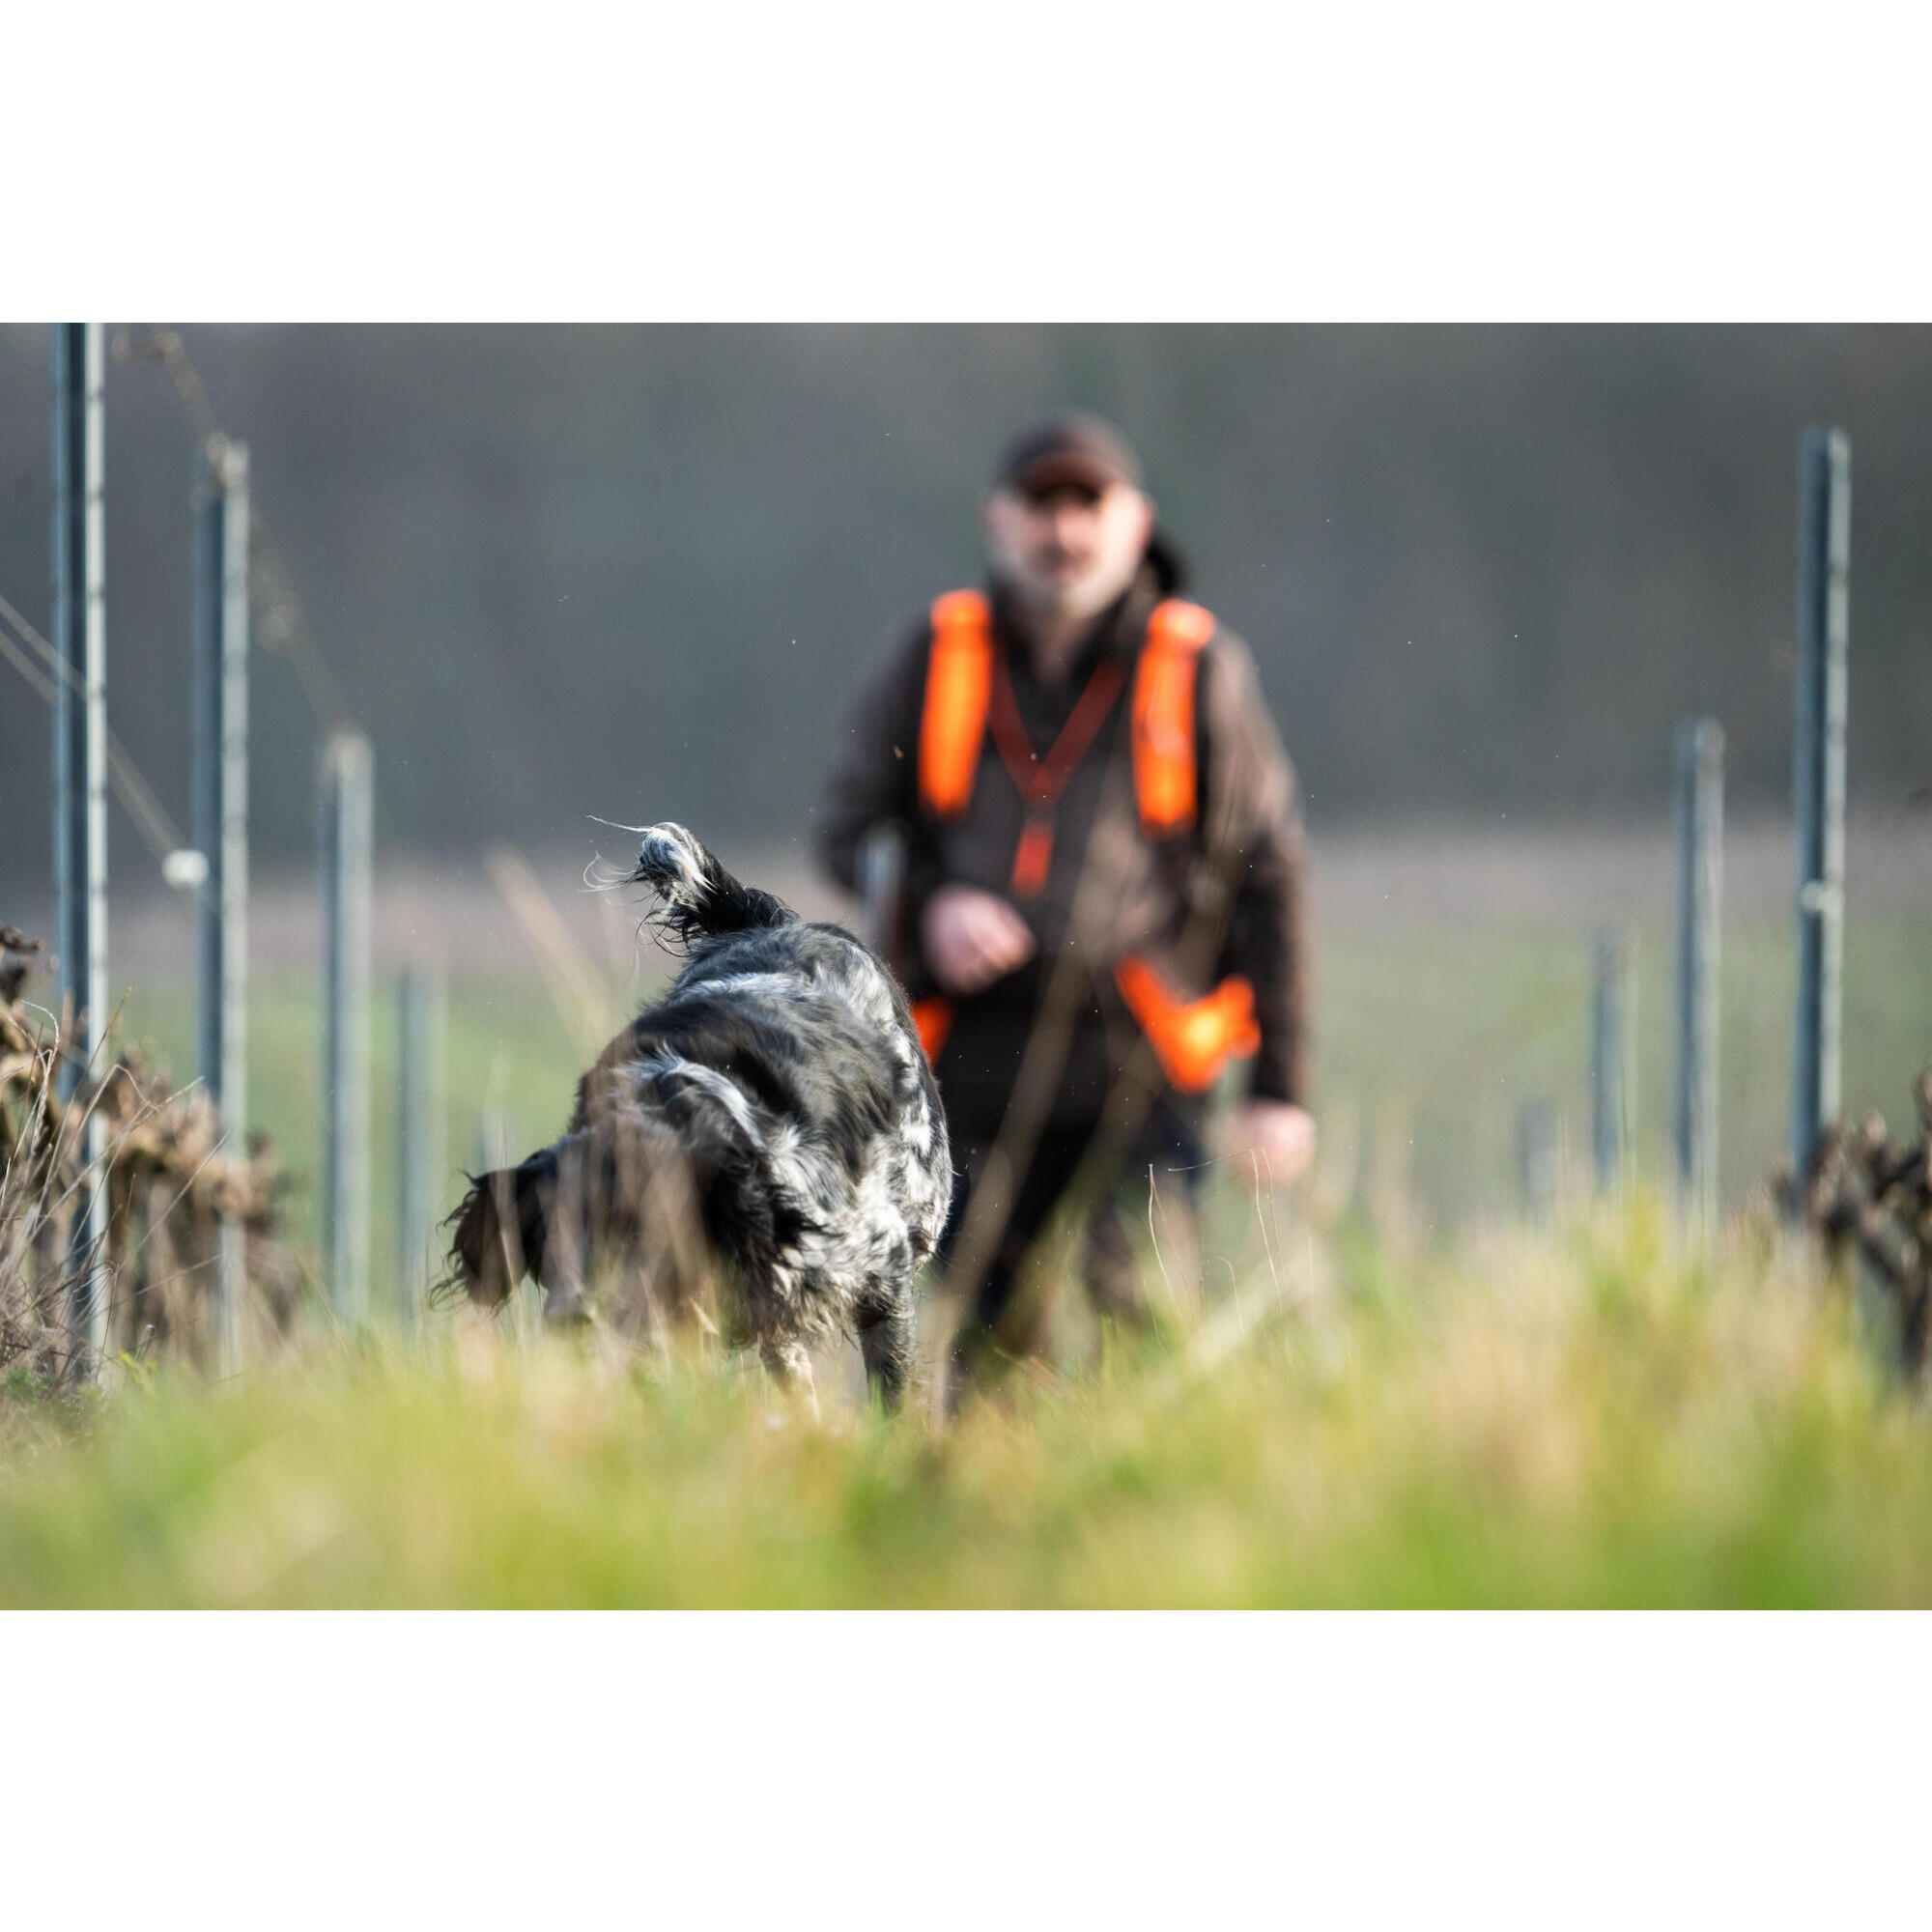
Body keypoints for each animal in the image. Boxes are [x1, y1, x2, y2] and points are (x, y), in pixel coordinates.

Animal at [440, 823, 951, 1414]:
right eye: (552, 1232)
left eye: (642, 1232)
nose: (574, 1323)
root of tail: (766, 923)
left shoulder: (880, 1266)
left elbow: (893, 1389)